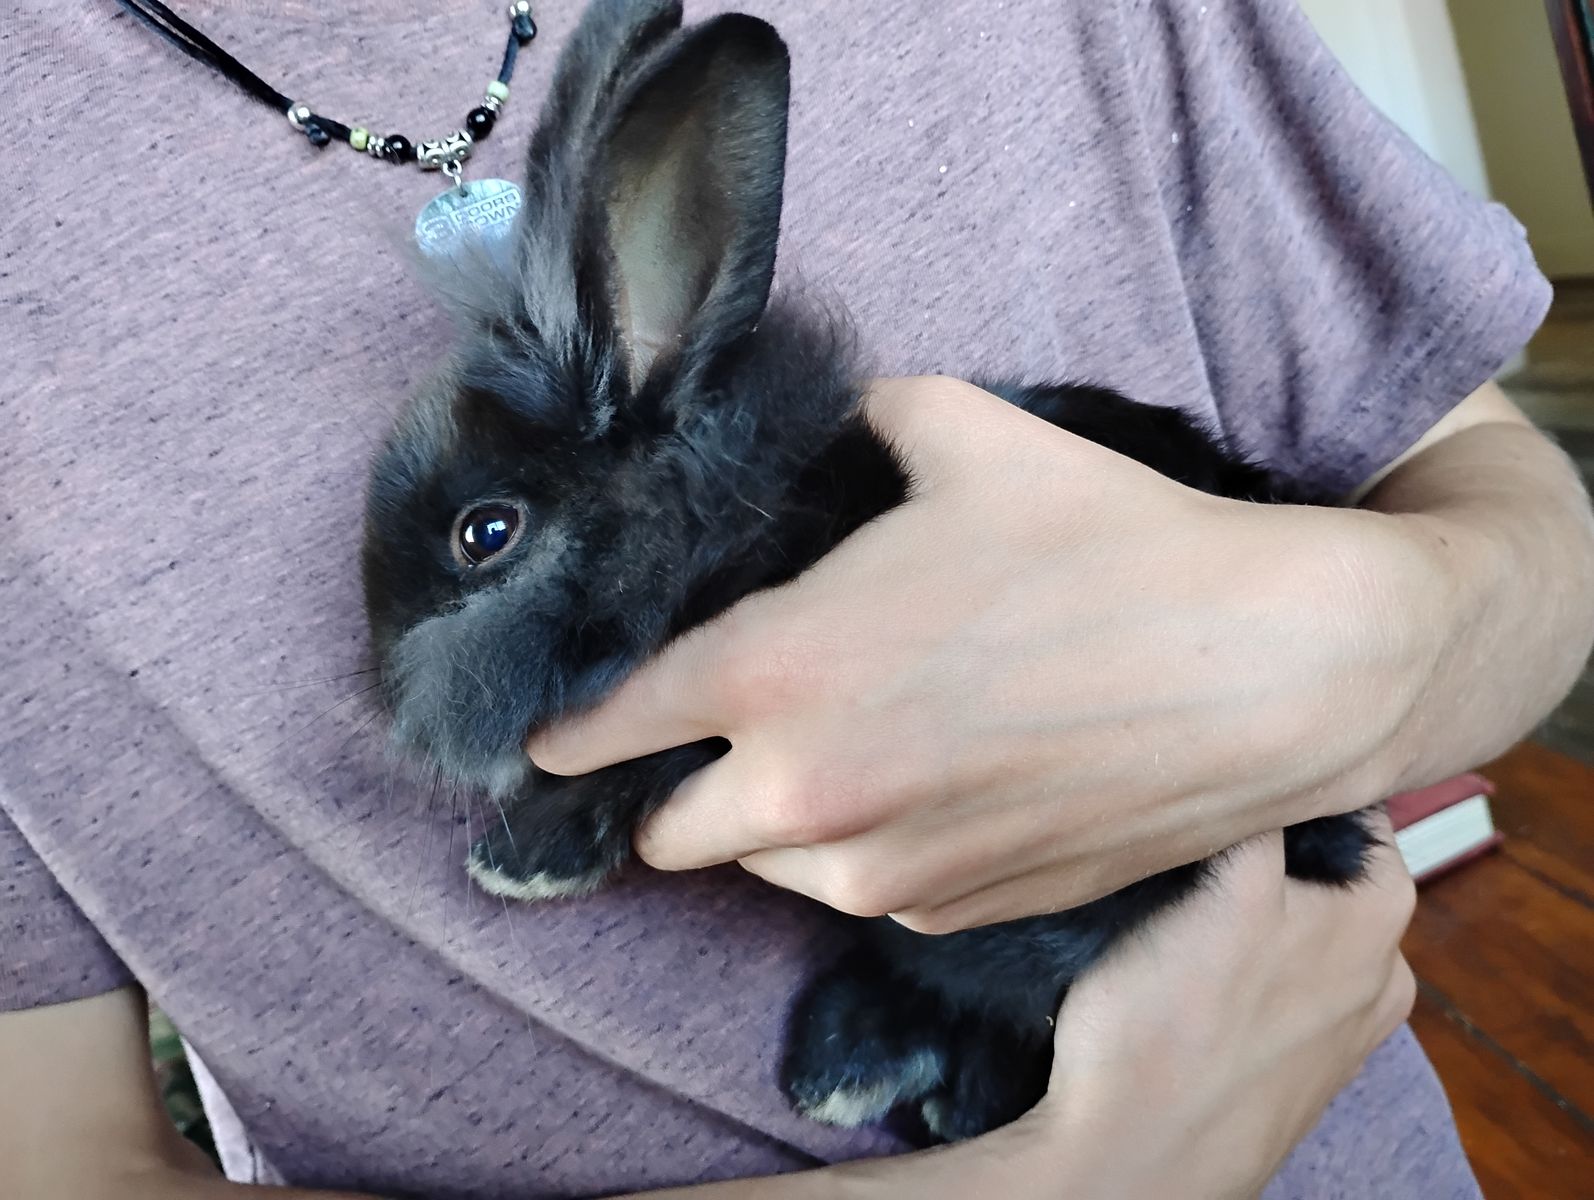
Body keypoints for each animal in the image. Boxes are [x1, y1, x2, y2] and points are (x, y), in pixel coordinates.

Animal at [360, 0, 1375, 1144]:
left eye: (485, 533)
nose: (379, 691)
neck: (727, 528)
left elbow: (636, 769)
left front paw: (525, 861)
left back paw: (877, 1075)